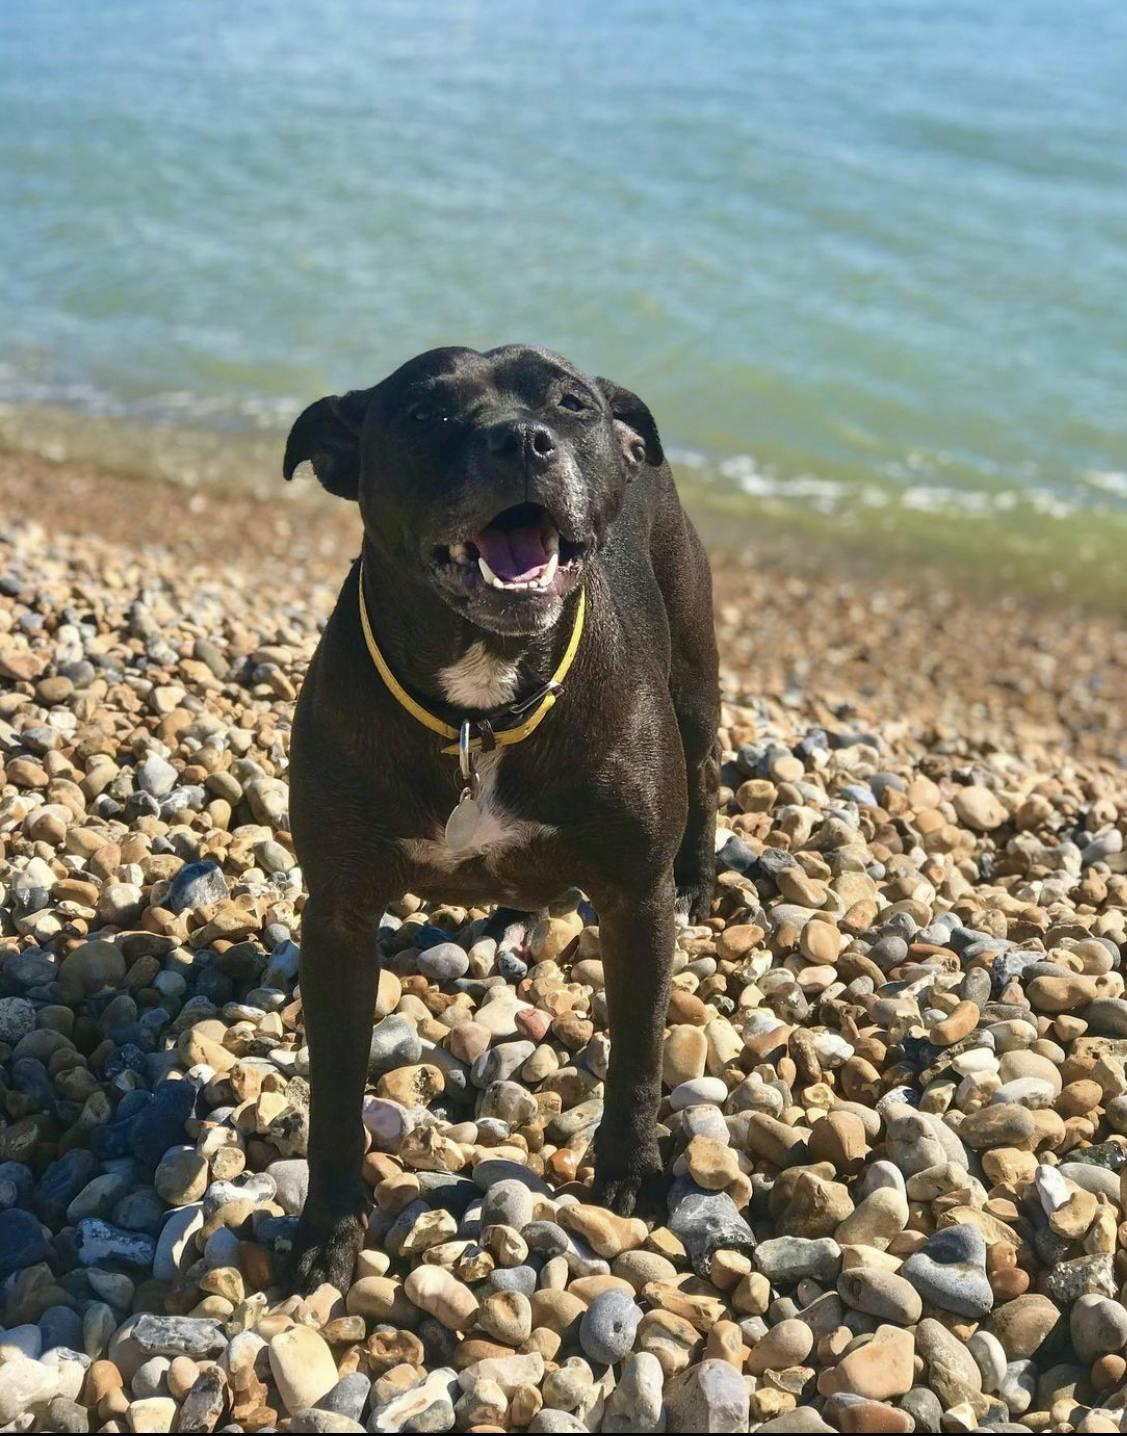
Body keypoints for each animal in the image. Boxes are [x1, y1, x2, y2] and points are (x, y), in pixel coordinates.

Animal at [284, 344, 720, 1292]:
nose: (523, 440)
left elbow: (638, 1051)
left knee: (709, 770)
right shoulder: (337, 916)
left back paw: (700, 877)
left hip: (696, 685)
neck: (477, 709)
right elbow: (333, 1085)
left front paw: (627, 1172)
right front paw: (327, 1224)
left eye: (571, 403)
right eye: (425, 414)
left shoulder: (635, 900)